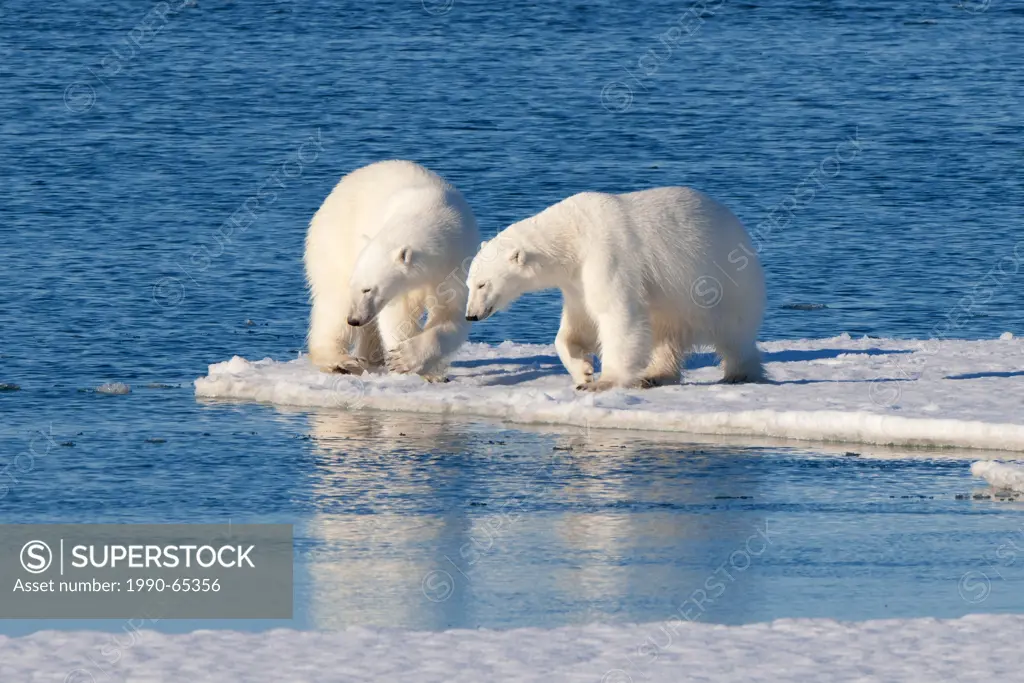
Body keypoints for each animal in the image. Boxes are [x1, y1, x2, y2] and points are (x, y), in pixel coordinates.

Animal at [303, 160, 479, 378]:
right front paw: (405, 362)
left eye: (368, 289)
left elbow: (451, 313)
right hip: (335, 239)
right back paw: (341, 361)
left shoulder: (456, 264)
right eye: (359, 287)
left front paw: (422, 367)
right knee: (335, 302)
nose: (354, 320)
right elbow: (397, 317)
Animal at [468, 185, 765, 389]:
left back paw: (739, 373)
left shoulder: (607, 254)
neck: (573, 234)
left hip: (724, 278)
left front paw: (603, 381)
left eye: (483, 284)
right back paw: (655, 375)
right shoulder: (575, 280)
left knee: (733, 331)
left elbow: (616, 312)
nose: (471, 314)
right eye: (470, 283)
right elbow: (578, 322)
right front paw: (583, 370)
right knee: (665, 332)